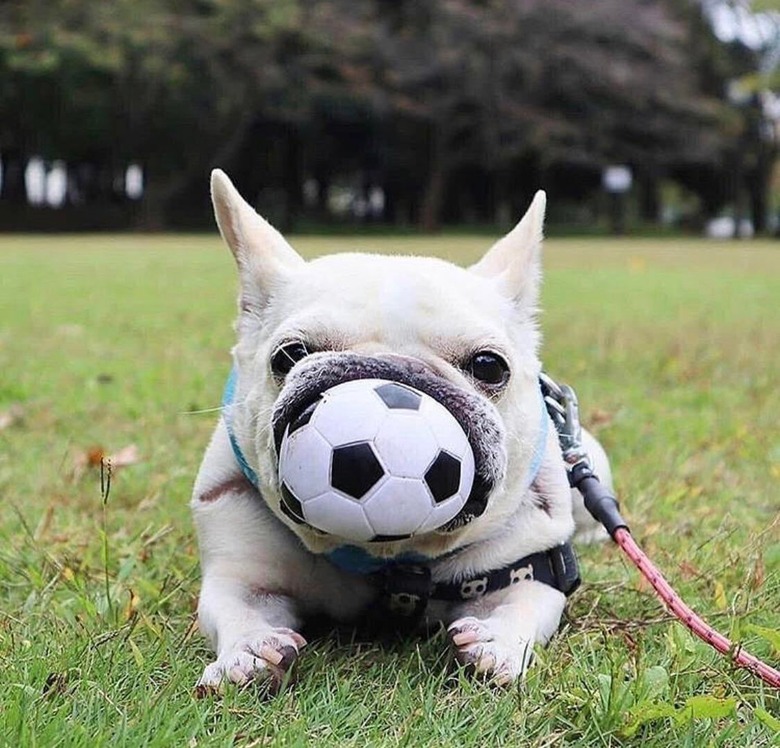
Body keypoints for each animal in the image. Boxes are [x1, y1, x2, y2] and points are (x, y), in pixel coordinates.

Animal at [192, 168, 612, 688]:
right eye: (289, 356)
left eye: (490, 366)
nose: (393, 371)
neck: (392, 559)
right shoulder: (241, 575)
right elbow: (238, 608)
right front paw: (249, 650)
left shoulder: (528, 572)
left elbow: (520, 608)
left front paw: (496, 643)